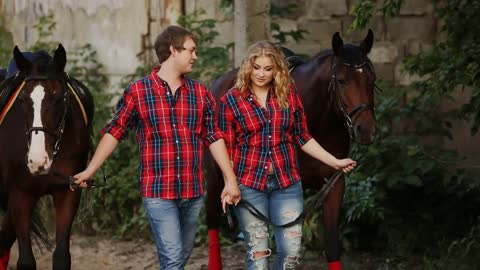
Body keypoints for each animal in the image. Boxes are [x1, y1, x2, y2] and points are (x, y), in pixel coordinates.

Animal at [0, 45, 94, 268]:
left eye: (59, 98)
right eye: (23, 100)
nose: (37, 161)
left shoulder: (68, 193)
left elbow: (61, 256)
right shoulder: (20, 195)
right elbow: (26, 260)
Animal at [204, 30, 376, 268]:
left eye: (372, 80)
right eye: (342, 81)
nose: (366, 130)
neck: (318, 119)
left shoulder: (334, 184)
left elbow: (331, 246)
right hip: (215, 176)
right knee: (212, 219)